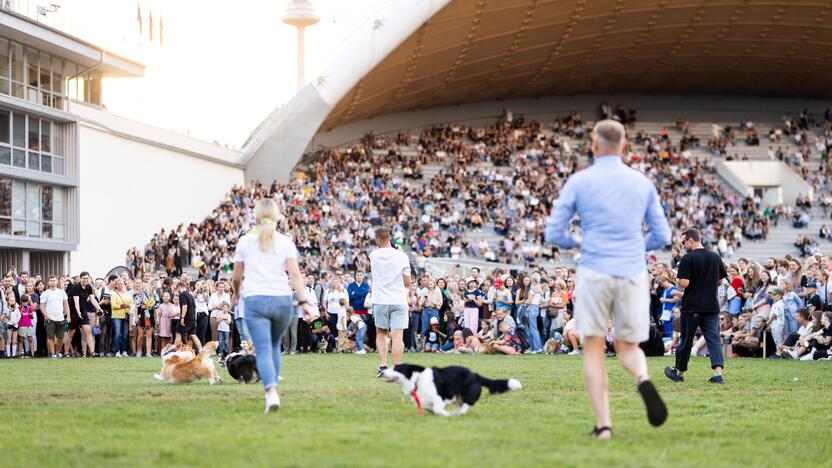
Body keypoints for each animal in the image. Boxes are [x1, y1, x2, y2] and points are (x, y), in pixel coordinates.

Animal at [382, 364, 520, 414]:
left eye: (396, 368)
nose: (382, 371)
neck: (417, 379)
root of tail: (476, 375)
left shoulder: (438, 398)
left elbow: (437, 409)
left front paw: (446, 414)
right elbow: (429, 408)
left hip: (467, 393)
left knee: (467, 404)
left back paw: (458, 413)